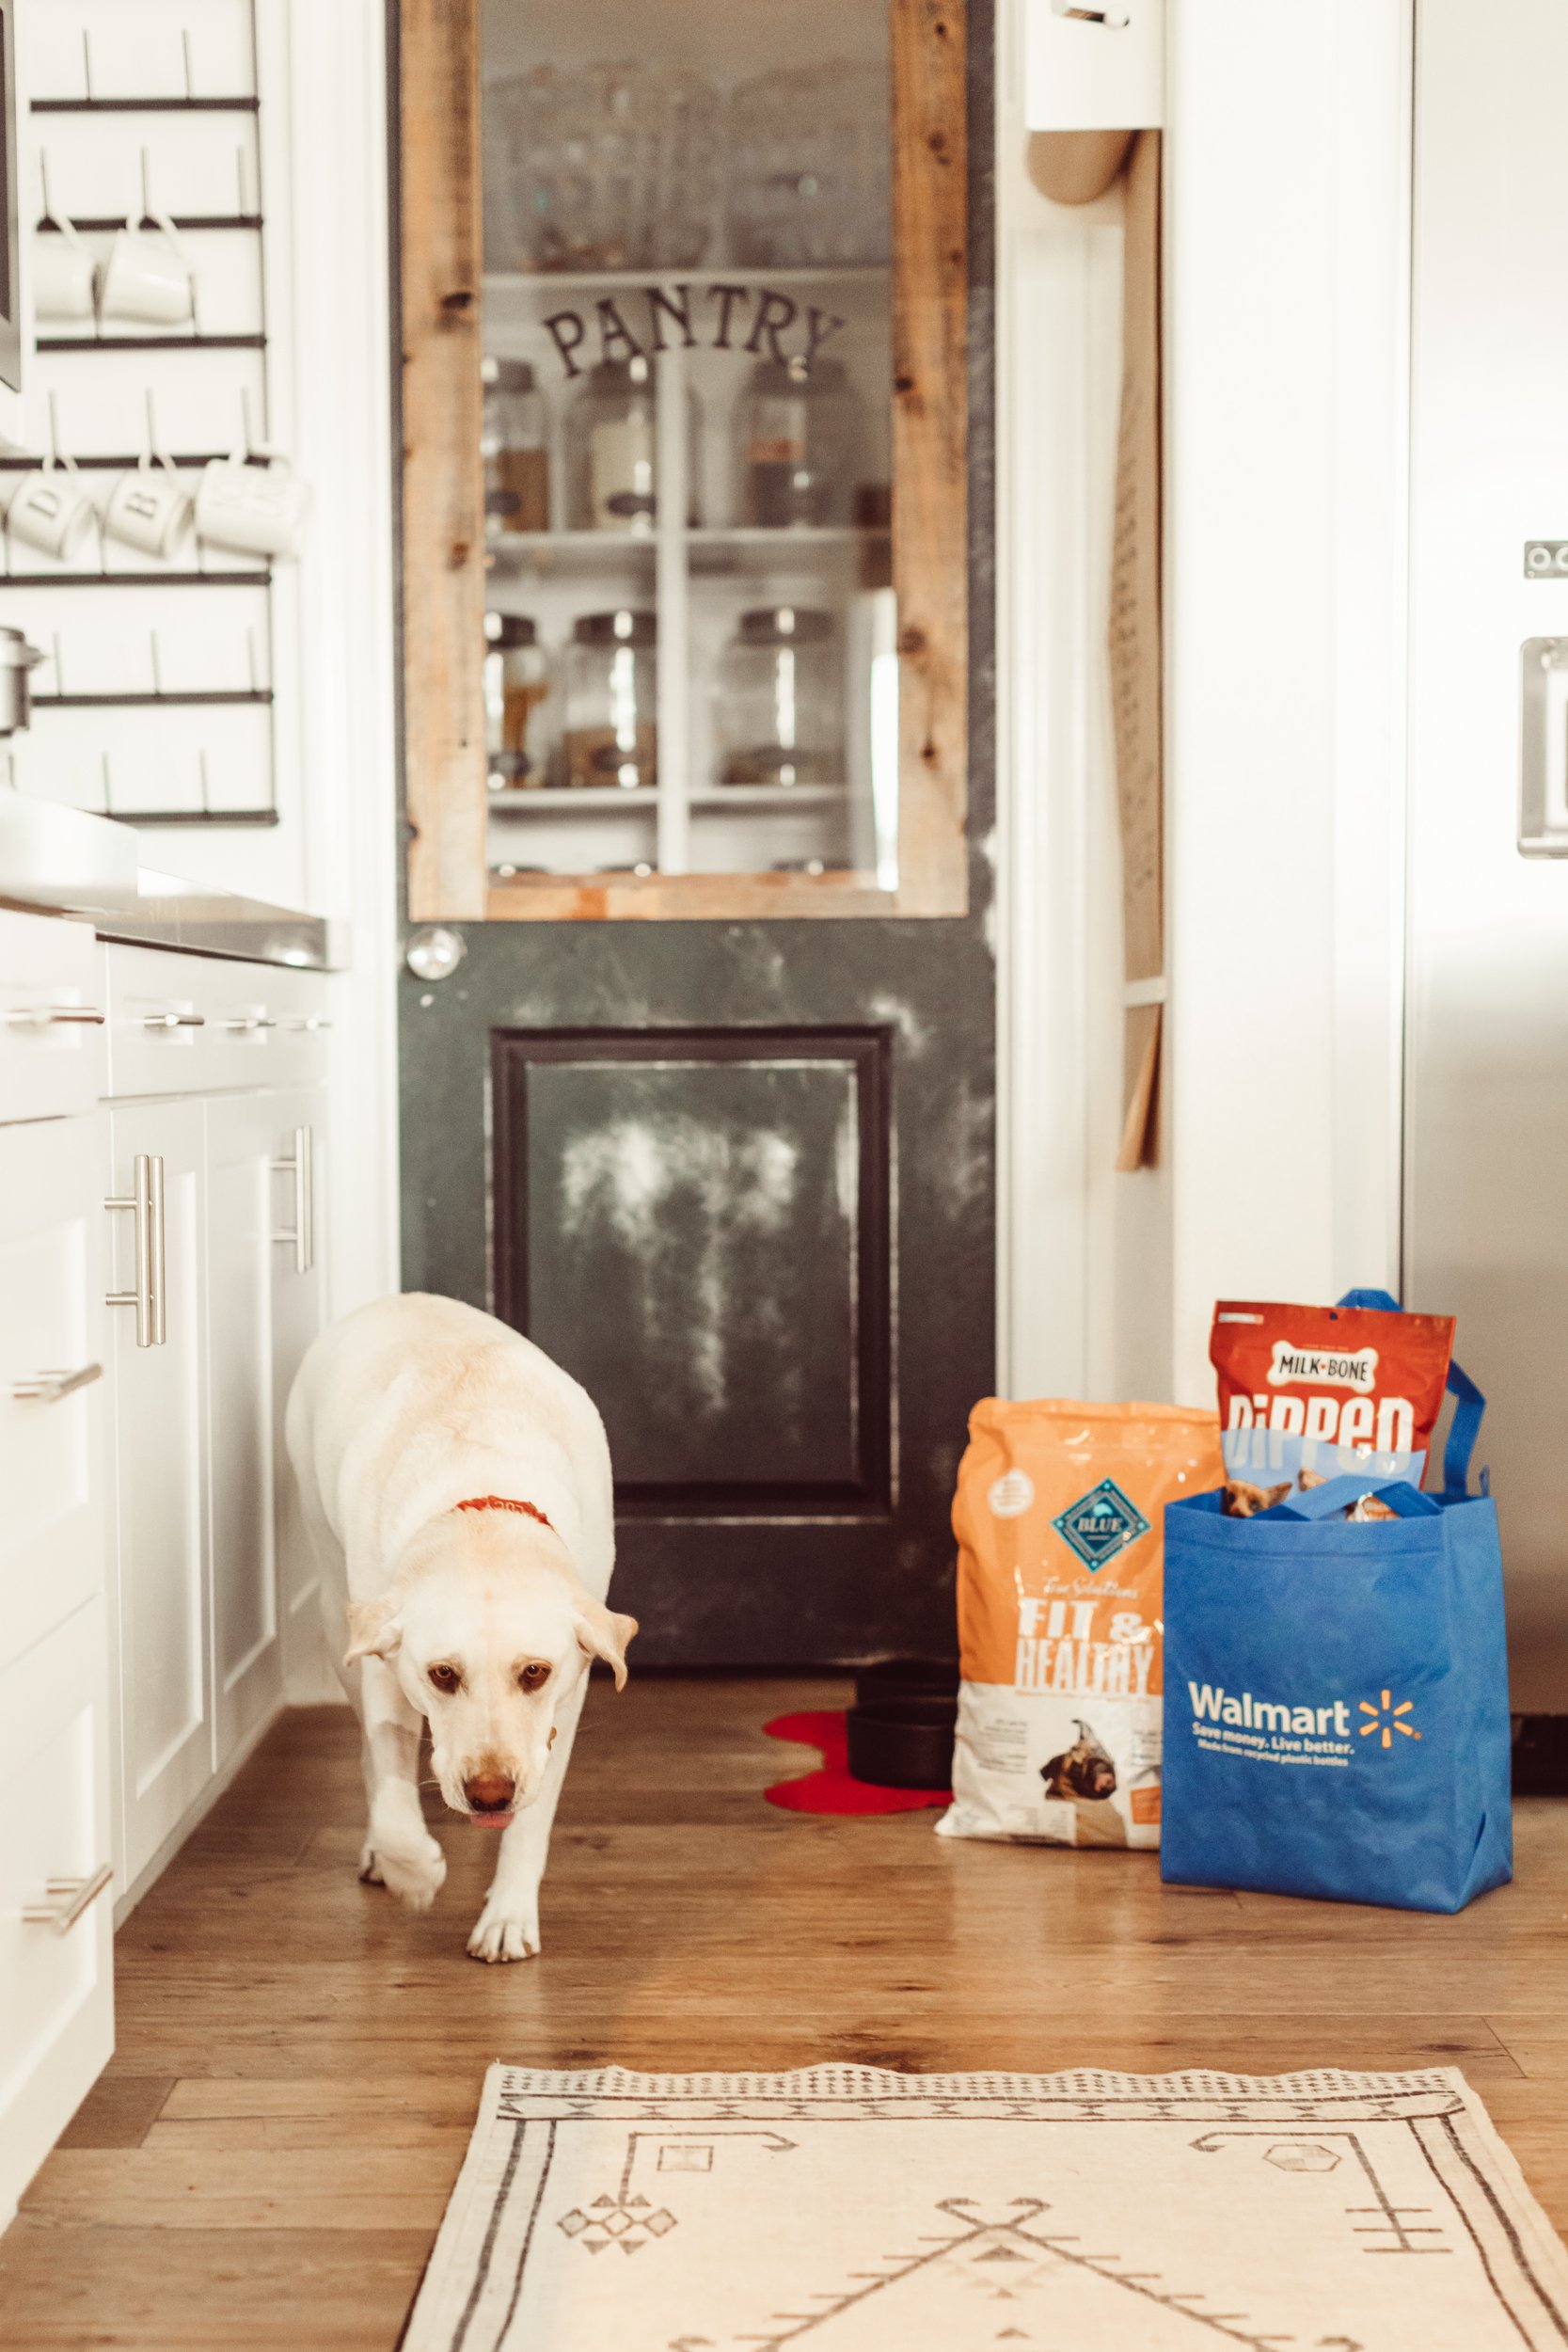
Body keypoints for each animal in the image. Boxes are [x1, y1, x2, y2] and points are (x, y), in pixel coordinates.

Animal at [285, 1298, 634, 1957]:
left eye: (535, 1672)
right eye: (442, 1674)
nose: (488, 1794)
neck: (482, 1521)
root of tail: (397, 1298)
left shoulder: (564, 1705)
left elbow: (532, 1820)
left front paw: (508, 1916)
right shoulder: (386, 1675)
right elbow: (392, 1785)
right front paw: (412, 1871)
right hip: (334, 1606)